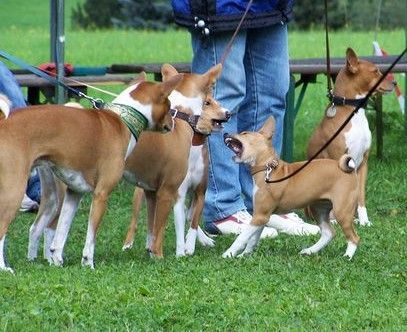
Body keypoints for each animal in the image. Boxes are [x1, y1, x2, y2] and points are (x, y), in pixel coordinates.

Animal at [0, 72, 182, 272]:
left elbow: (60, 235)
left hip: (50, 196)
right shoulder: (101, 195)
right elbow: (91, 238)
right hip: (14, 192)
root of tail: (3, 122)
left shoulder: (74, 193)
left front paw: (57, 260)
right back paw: (5, 268)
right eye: (169, 106)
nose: (173, 123)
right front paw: (88, 263)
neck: (123, 120)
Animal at [220, 116, 360, 260]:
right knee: (329, 233)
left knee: (354, 237)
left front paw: (229, 253)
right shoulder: (261, 216)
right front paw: (244, 255)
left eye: (244, 133)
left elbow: (242, 237)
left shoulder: (260, 216)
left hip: (341, 211)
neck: (268, 169)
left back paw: (347, 256)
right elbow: (252, 239)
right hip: (318, 209)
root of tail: (347, 169)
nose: (225, 133)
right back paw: (310, 251)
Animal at [308, 48, 396, 227]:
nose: (395, 83)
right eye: (375, 71)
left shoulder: (362, 164)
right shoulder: (337, 161)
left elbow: (360, 197)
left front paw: (364, 220)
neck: (353, 113)